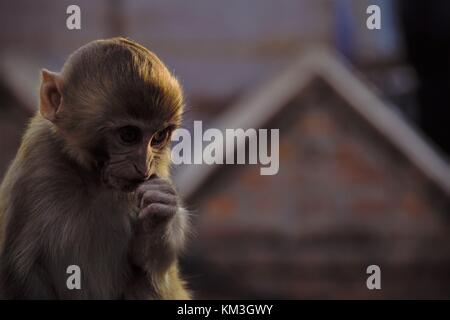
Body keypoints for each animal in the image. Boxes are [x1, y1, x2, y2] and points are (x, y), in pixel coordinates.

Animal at [0, 38, 190, 298]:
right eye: (129, 135)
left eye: (159, 136)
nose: (142, 167)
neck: (91, 178)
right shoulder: (38, 161)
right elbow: (21, 273)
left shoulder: (158, 170)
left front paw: (158, 217)